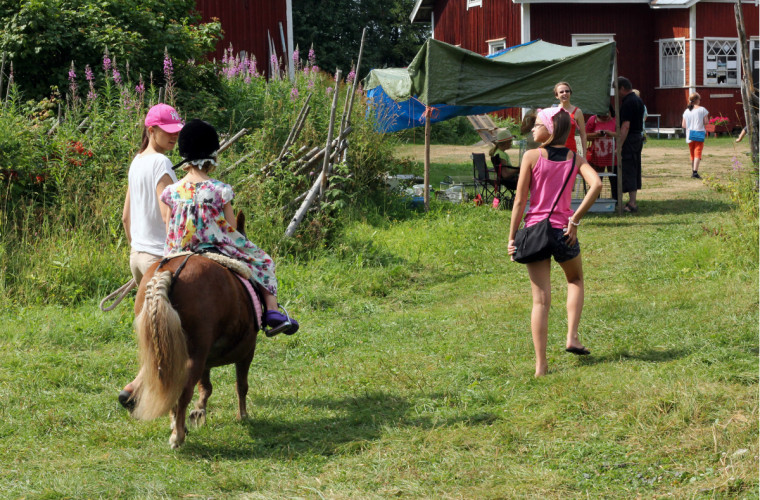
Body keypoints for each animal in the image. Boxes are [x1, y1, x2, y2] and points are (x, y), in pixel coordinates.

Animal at [127, 213, 262, 448]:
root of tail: (168, 273)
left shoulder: (205, 359)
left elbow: (205, 387)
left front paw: (199, 413)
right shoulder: (246, 351)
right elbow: (241, 385)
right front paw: (242, 416)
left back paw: (175, 424)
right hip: (194, 354)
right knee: (182, 390)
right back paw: (178, 436)